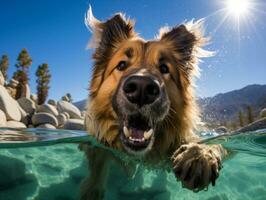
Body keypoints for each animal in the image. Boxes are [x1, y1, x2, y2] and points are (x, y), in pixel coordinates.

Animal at [81, 7, 227, 199]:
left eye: (164, 68)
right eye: (121, 65)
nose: (141, 89)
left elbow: (214, 144)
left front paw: (199, 156)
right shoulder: (100, 146)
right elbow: (98, 166)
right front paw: (93, 190)